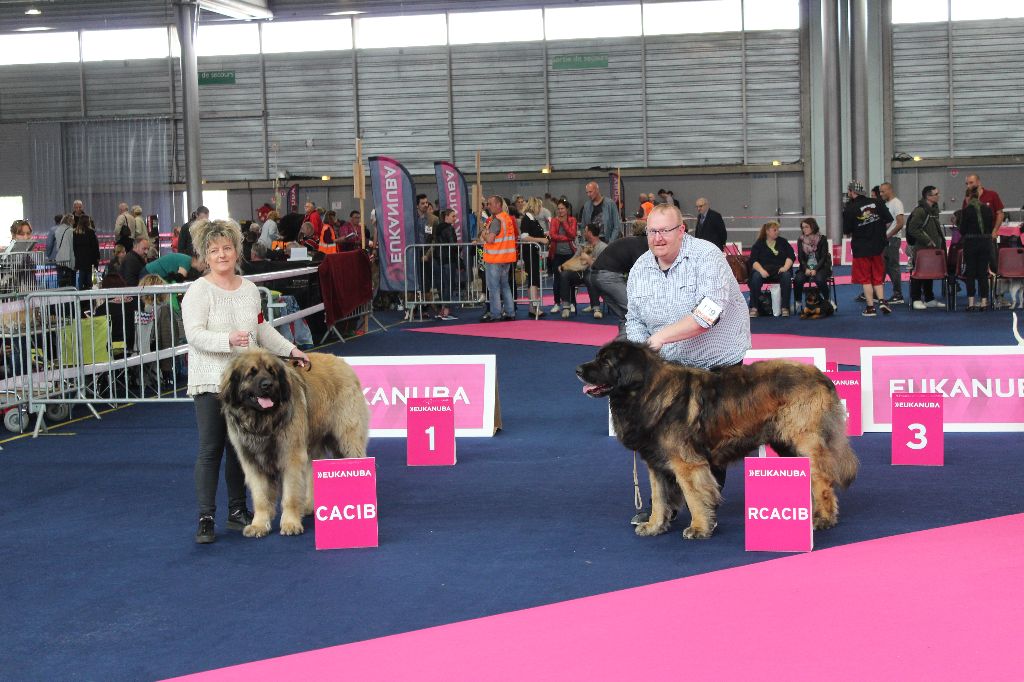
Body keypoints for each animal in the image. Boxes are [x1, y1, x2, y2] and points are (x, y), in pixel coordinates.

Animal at [218, 350, 370, 536]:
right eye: (251, 373)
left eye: (271, 372)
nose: (268, 385)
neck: (263, 421)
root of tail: (341, 361)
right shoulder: (252, 462)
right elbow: (261, 497)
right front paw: (259, 524)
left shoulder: (290, 456)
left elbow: (290, 495)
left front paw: (290, 523)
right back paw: (309, 506)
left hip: (347, 439)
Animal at [577, 342, 856, 540]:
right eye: (598, 357)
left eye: (606, 361)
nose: (578, 370)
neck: (646, 391)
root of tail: (821, 375)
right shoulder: (656, 464)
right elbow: (659, 498)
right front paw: (654, 525)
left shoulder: (687, 464)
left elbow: (694, 496)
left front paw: (699, 528)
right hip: (786, 444)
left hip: (803, 441)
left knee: (822, 479)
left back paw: (823, 518)